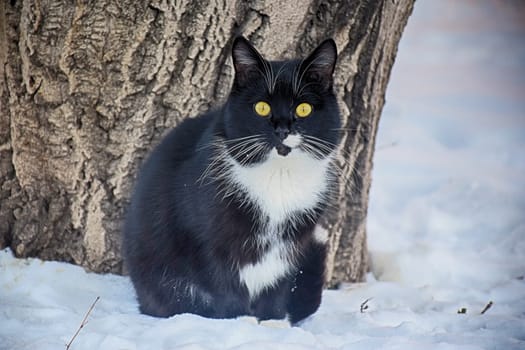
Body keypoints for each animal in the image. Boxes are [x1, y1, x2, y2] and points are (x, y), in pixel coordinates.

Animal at [124, 36, 344, 326]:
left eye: (304, 108)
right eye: (261, 107)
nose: (282, 129)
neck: (279, 177)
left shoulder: (294, 239)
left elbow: (278, 283)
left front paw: (273, 324)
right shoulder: (209, 237)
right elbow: (224, 282)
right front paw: (238, 322)